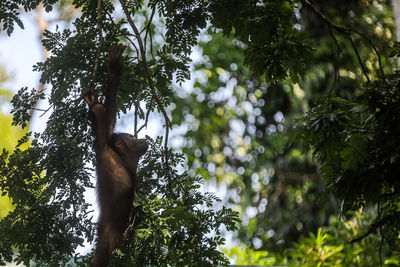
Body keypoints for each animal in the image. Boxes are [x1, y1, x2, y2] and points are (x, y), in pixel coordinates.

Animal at [83, 45, 148, 266]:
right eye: (130, 137)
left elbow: (107, 122)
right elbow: (106, 127)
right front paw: (115, 69)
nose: (141, 139)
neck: (125, 161)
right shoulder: (105, 150)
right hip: (108, 237)